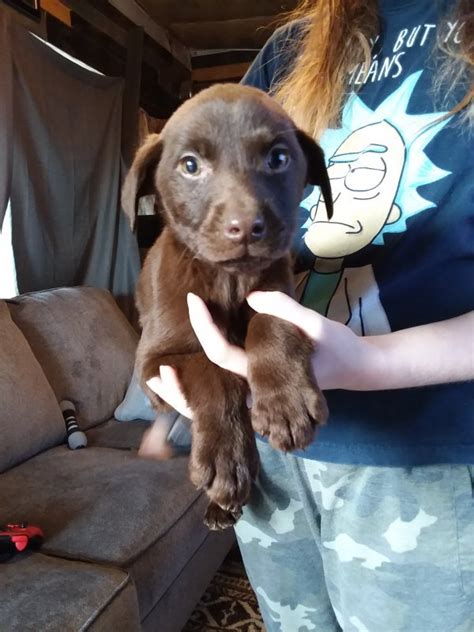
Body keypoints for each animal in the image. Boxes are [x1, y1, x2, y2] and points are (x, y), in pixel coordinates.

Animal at [125, 82, 334, 528]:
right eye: (190, 165)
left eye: (278, 158)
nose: (246, 228)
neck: (228, 281)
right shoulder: (153, 365)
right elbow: (211, 368)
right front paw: (226, 459)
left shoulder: (279, 291)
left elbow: (270, 322)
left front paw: (285, 401)